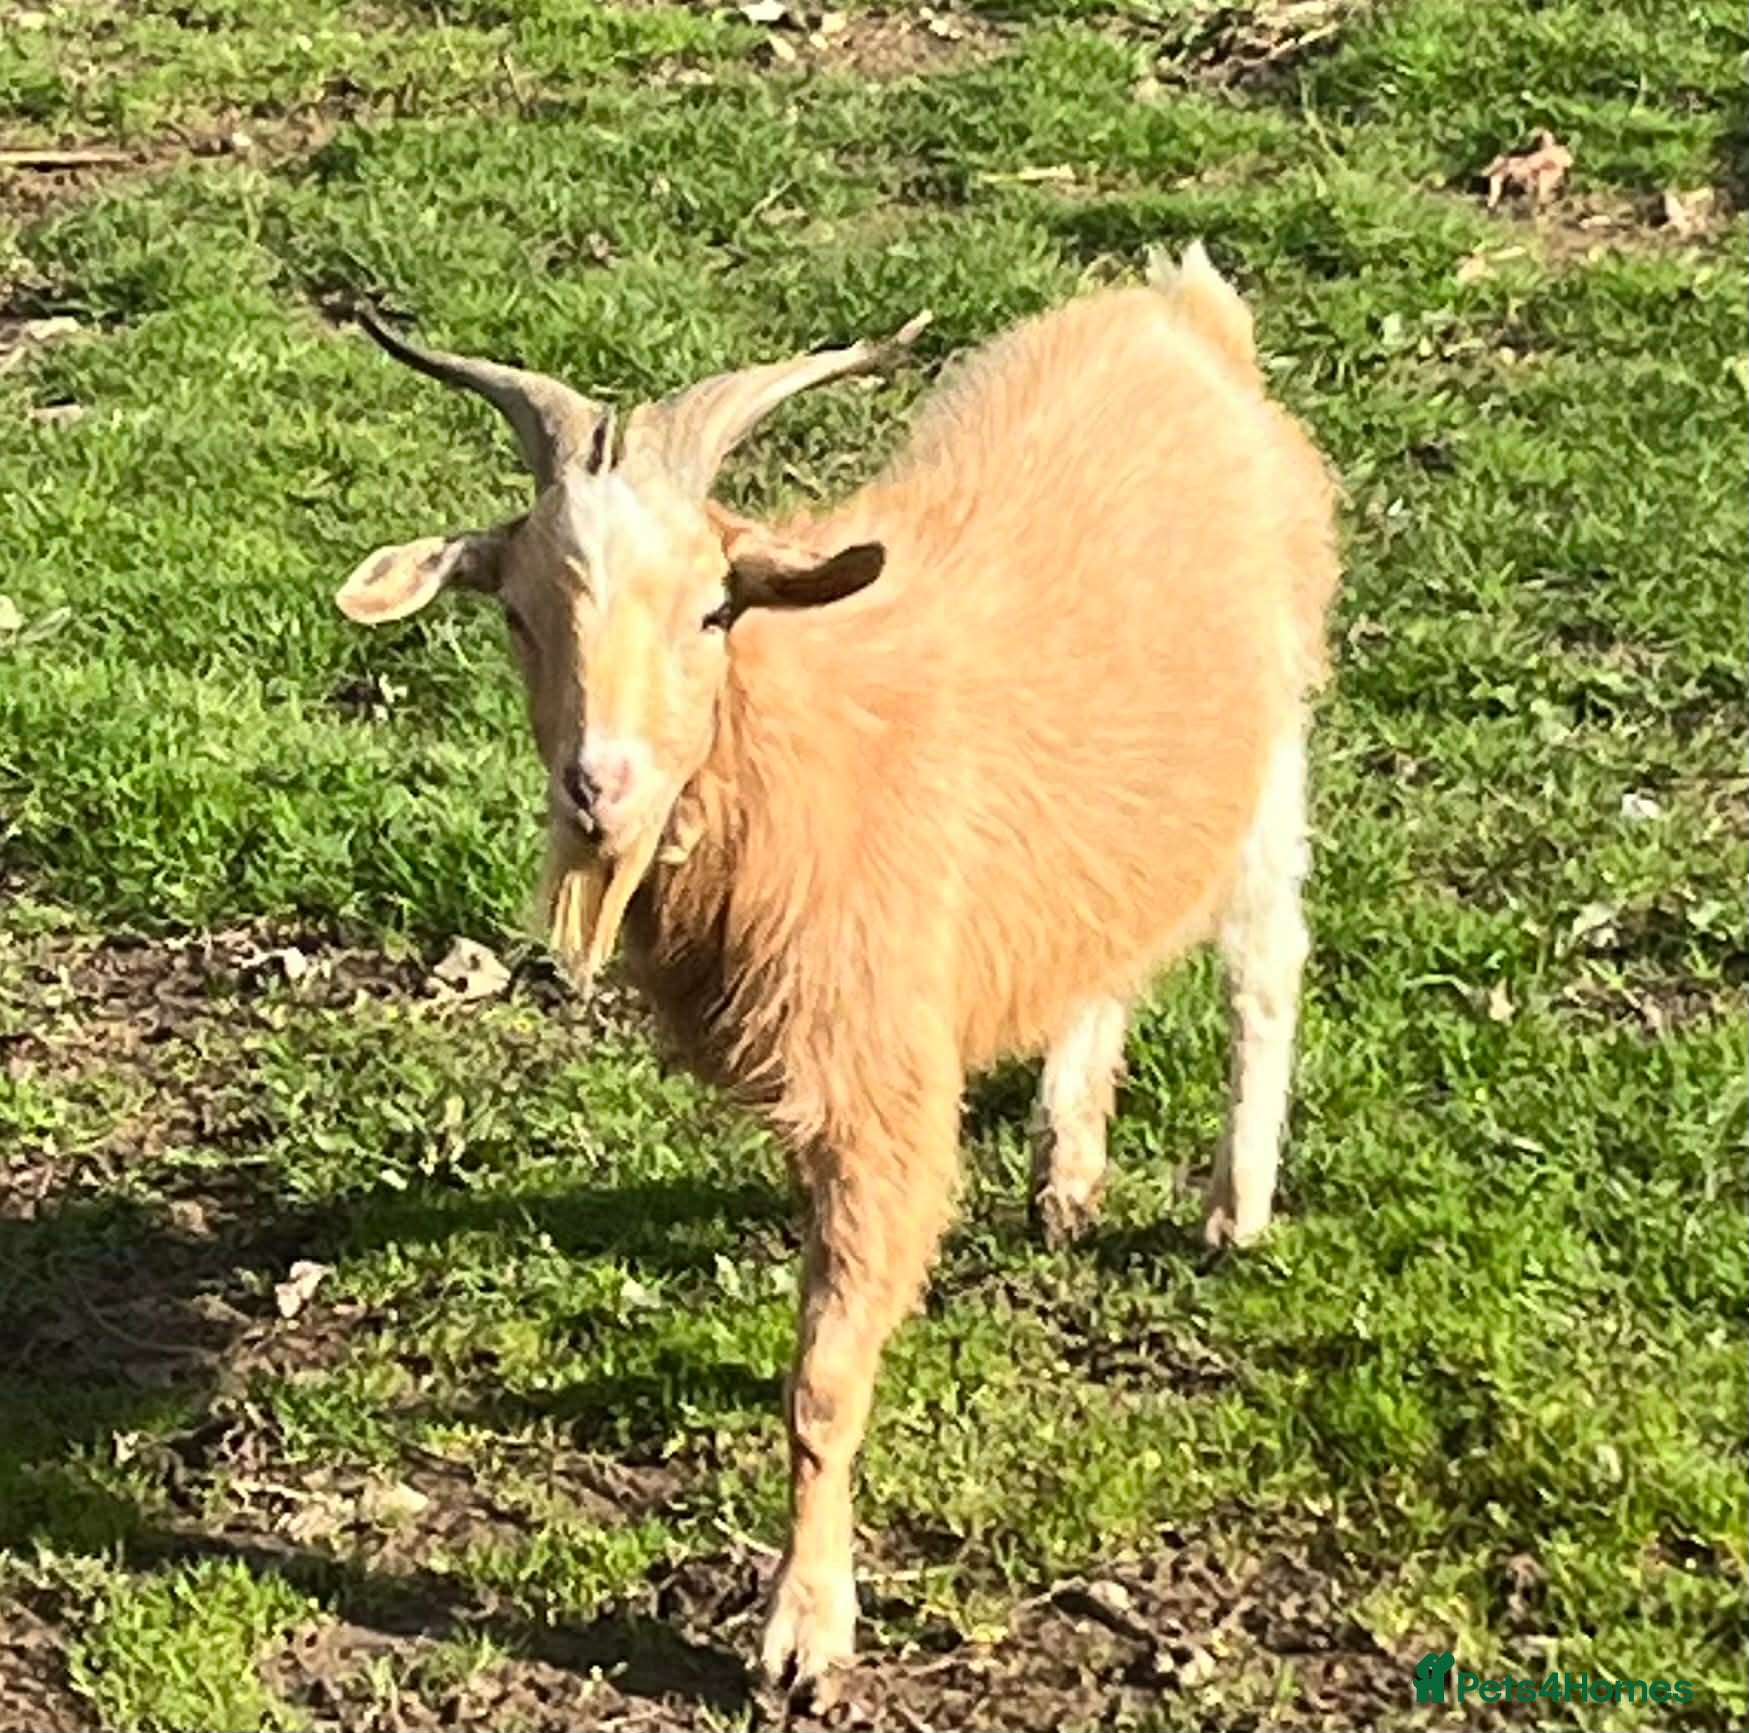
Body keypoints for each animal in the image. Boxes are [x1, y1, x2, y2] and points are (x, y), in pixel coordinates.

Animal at [331, 243, 1340, 1696]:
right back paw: (1067, 1169)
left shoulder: (880, 1088)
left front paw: (804, 1629)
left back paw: (1233, 1205)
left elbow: (821, 1378)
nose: (598, 786)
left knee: (1266, 960)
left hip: (1269, 747)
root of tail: (1175, 315)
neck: (798, 736)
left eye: (713, 607)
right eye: (518, 613)